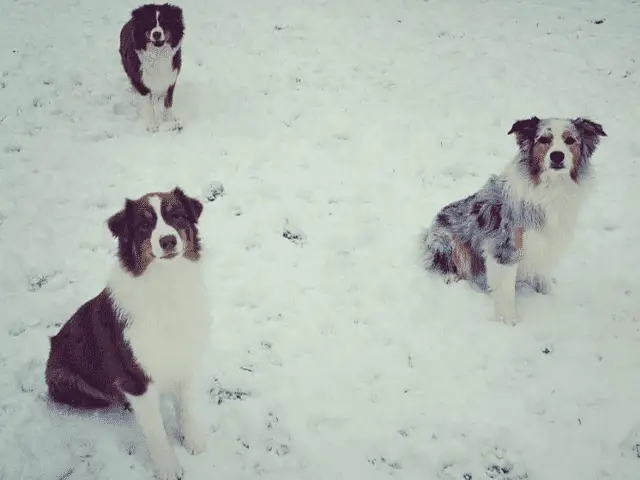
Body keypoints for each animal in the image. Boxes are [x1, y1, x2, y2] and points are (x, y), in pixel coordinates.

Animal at [45, 188, 210, 480]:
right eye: (144, 225)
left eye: (177, 216)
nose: (168, 240)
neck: (166, 283)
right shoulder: (136, 376)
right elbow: (156, 431)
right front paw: (168, 468)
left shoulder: (185, 357)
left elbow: (187, 408)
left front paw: (192, 442)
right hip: (65, 379)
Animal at [119, 3, 184, 133]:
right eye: (150, 23)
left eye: (165, 23)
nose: (156, 34)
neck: (157, 54)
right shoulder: (140, 80)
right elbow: (148, 105)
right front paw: (153, 126)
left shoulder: (171, 78)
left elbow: (168, 102)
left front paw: (168, 122)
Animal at [422, 116, 608, 324]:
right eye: (544, 140)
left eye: (570, 140)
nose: (557, 156)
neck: (550, 189)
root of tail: (429, 229)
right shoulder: (504, 248)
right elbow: (506, 289)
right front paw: (509, 320)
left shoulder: (546, 242)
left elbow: (543, 274)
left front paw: (551, 296)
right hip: (450, 243)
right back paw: (450, 277)